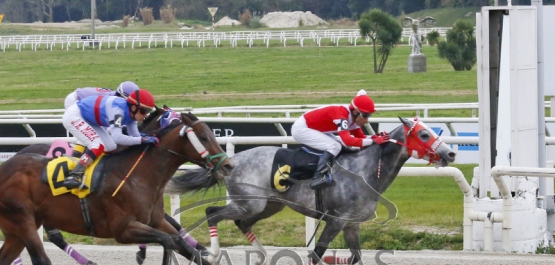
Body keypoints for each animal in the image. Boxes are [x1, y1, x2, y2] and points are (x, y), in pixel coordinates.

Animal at [0, 112, 233, 264]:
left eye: (212, 134)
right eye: (203, 137)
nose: (228, 166)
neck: (136, 174)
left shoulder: (155, 220)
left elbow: (179, 240)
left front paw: (206, 253)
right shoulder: (123, 229)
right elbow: (168, 240)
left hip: (16, 230)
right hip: (23, 221)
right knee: (43, 255)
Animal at [168, 117, 456, 264]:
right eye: (424, 135)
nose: (451, 153)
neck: (364, 169)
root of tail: (232, 160)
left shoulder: (351, 225)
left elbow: (356, 257)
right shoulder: (336, 220)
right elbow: (317, 254)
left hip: (269, 205)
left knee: (242, 222)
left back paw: (261, 255)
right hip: (249, 202)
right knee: (212, 212)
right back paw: (214, 253)